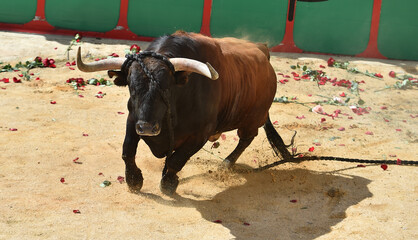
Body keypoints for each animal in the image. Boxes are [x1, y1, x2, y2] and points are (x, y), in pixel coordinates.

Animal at [76, 31, 290, 195]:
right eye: (131, 86)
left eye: (166, 87)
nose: (148, 128)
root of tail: (262, 50)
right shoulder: (133, 120)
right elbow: (128, 150)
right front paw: (134, 180)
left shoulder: (200, 134)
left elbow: (176, 160)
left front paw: (168, 183)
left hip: (252, 119)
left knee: (246, 138)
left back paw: (226, 164)